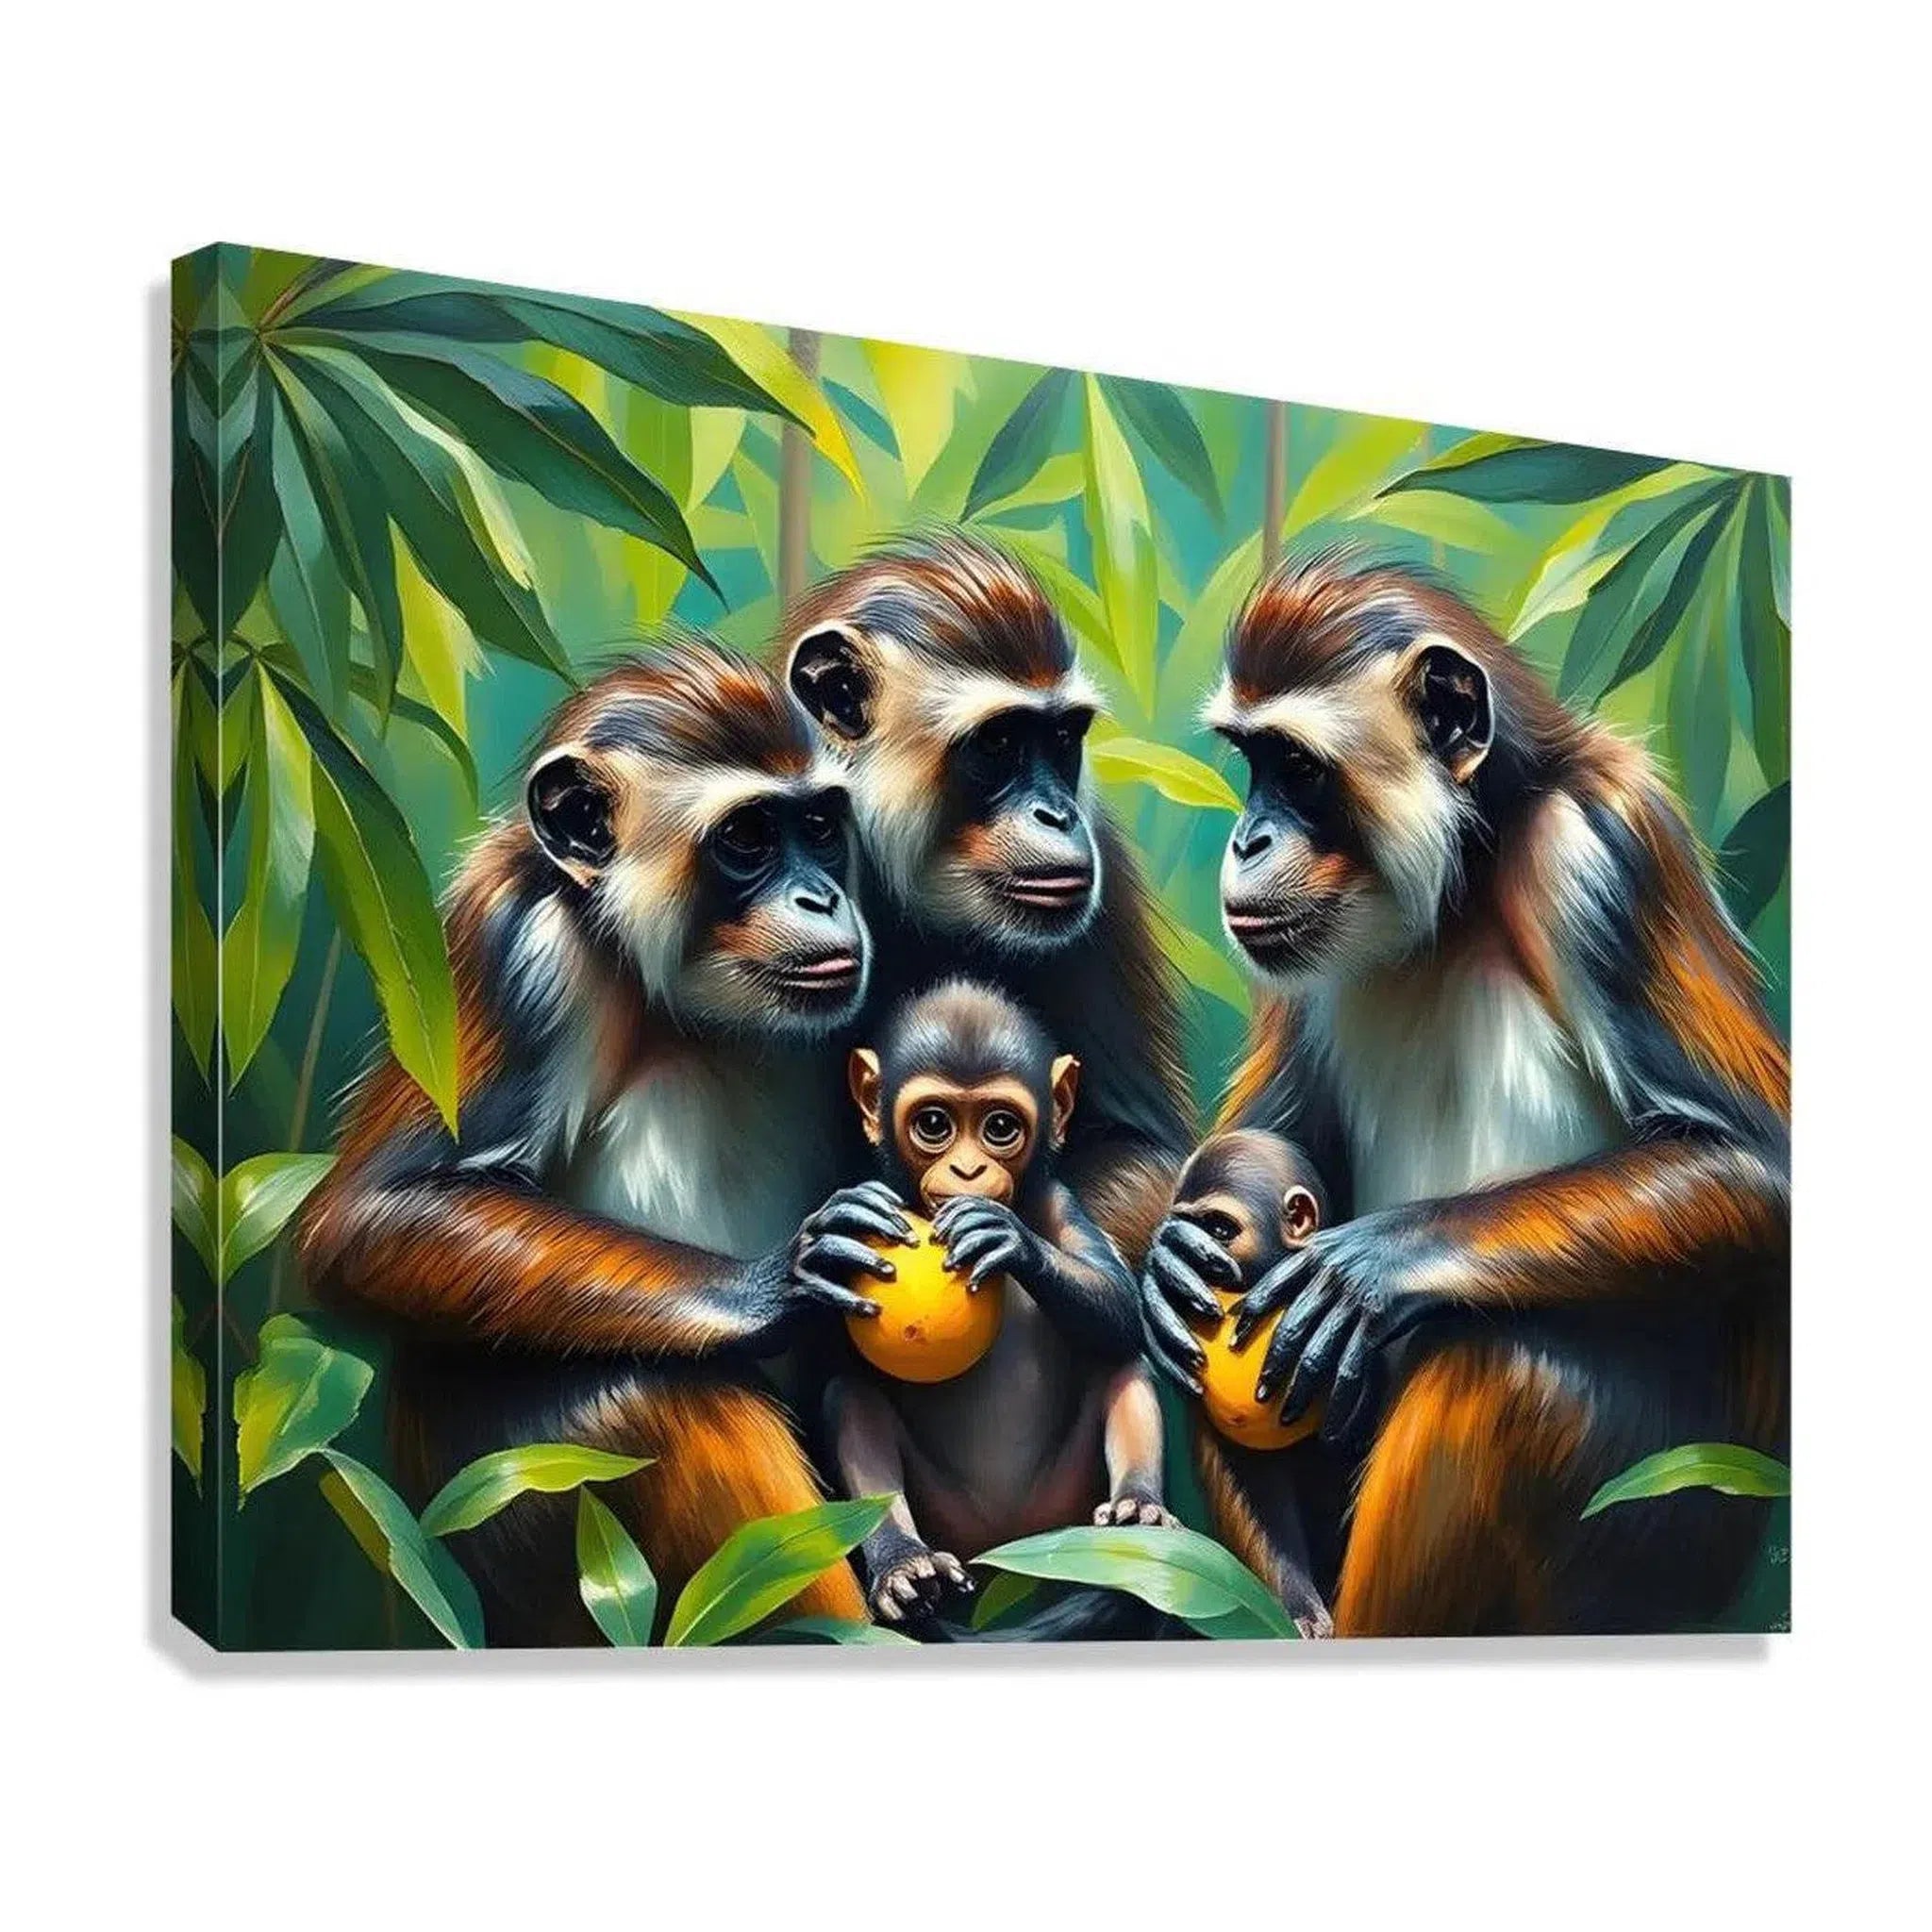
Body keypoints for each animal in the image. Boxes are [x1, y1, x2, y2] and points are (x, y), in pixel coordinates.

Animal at [298, 636, 918, 1643]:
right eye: (749, 838)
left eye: (823, 826)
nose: (822, 896)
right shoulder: (522, 953)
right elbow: (371, 1218)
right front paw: (774, 1286)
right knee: (656, 1394)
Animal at [825, 978, 1173, 1628]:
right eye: (934, 1123)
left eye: (1001, 1127)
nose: (967, 1169)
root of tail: (1006, 1548)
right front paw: (816, 1250)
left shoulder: (1059, 1197)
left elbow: (1116, 1304)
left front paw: (1008, 1238)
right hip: (948, 1514)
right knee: (852, 1395)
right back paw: (905, 1564)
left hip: (1063, 1503)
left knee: (1119, 1362)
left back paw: (1136, 1508)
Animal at [1138, 550, 1789, 1637]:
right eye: (1250, 761)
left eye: (1296, 768)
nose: (1247, 838)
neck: (1461, 885)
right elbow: (1253, 1175)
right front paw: (1175, 1255)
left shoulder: (1601, 850)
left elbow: (1753, 1167)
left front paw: (1376, 1263)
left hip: (1672, 1529)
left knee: (1502, 1363)